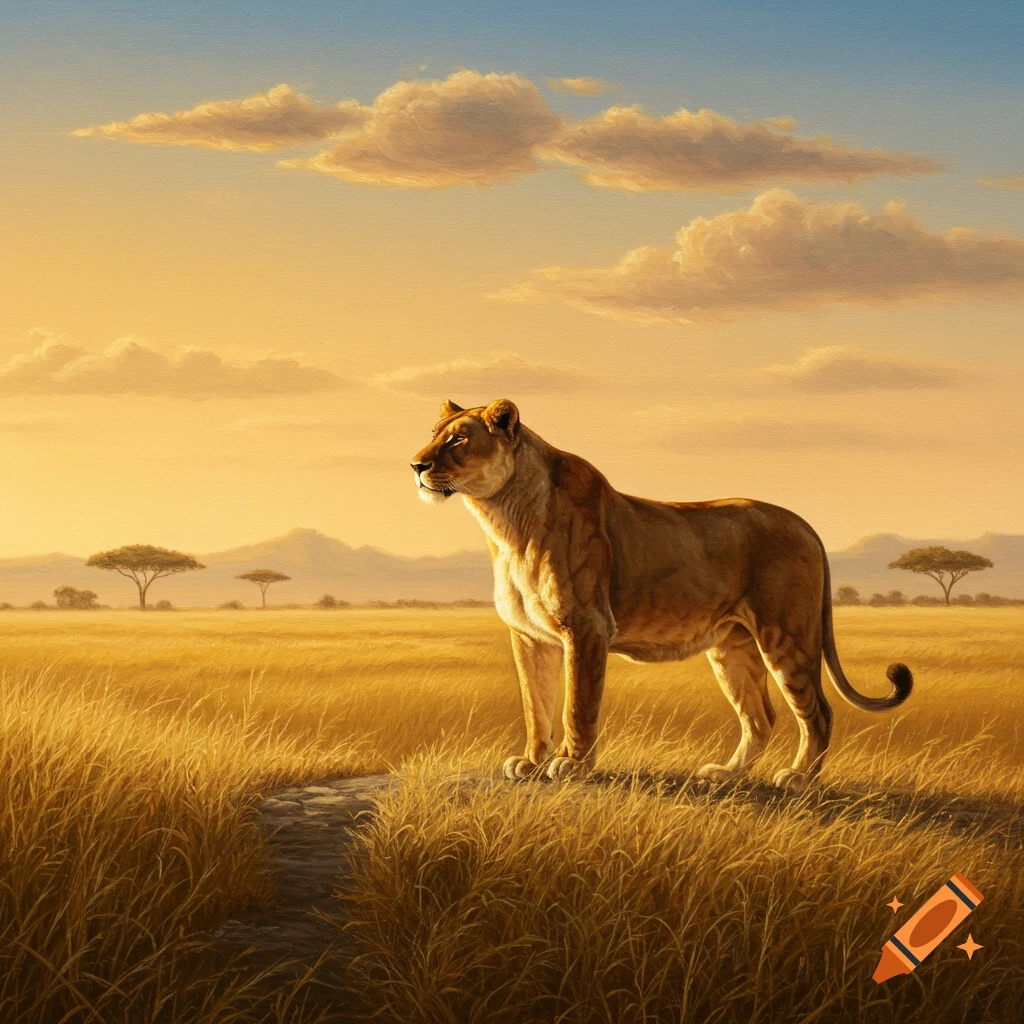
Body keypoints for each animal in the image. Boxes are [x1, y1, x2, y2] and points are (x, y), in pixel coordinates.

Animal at [410, 398, 912, 792]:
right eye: (433, 435)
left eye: (458, 440)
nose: (416, 466)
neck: (504, 521)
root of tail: (805, 524)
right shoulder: (529, 636)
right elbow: (536, 706)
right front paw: (533, 763)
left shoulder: (587, 626)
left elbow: (576, 705)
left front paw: (572, 765)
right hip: (733, 646)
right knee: (760, 717)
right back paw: (727, 774)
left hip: (786, 635)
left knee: (819, 713)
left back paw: (799, 779)